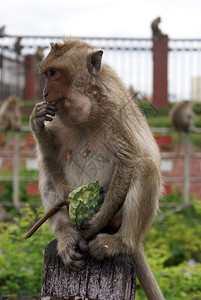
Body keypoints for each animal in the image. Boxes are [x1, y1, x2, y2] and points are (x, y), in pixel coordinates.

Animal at [30, 38, 165, 298]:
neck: (89, 105)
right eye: (46, 74)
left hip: (119, 220)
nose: (44, 92)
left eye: (53, 73)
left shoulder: (115, 110)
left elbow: (128, 160)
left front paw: (97, 220)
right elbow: (52, 153)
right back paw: (66, 235)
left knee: (146, 167)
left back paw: (121, 242)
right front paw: (37, 119)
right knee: (47, 164)